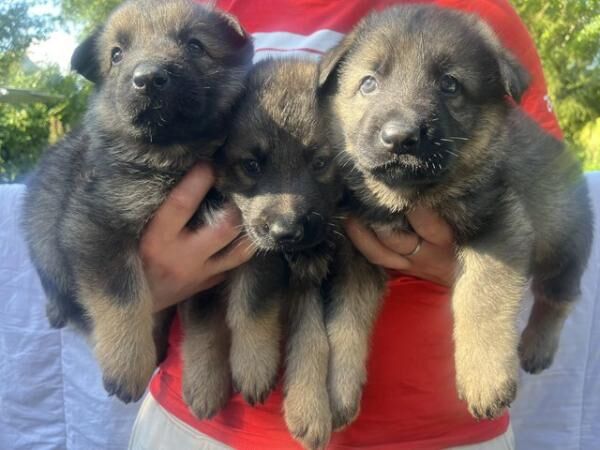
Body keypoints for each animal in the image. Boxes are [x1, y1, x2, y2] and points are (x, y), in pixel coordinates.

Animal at [21, 0, 253, 404]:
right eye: (117, 54)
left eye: (194, 45)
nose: (147, 78)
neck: (171, 158)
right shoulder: (96, 226)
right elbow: (123, 296)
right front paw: (126, 366)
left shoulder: (212, 263)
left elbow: (206, 325)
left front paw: (206, 382)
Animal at [322, 3, 592, 420]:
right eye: (368, 83)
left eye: (450, 85)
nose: (399, 137)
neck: (412, 196)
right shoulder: (357, 256)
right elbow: (345, 321)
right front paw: (339, 388)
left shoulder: (497, 223)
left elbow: (480, 296)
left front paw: (484, 377)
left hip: (563, 235)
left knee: (558, 295)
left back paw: (537, 344)